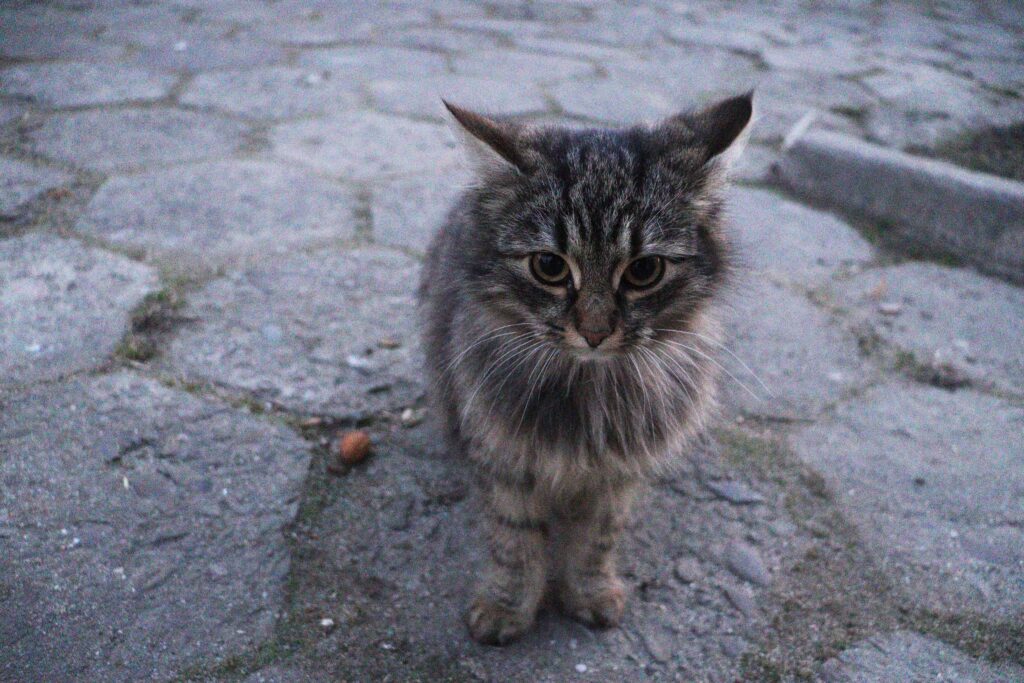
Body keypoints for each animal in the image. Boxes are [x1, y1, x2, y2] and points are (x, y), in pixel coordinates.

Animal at [418, 93, 752, 645]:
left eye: (644, 271)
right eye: (550, 267)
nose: (595, 332)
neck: (590, 390)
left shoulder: (619, 475)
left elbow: (597, 540)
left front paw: (589, 594)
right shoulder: (503, 459)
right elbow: (515, 543)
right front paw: (507, 607)